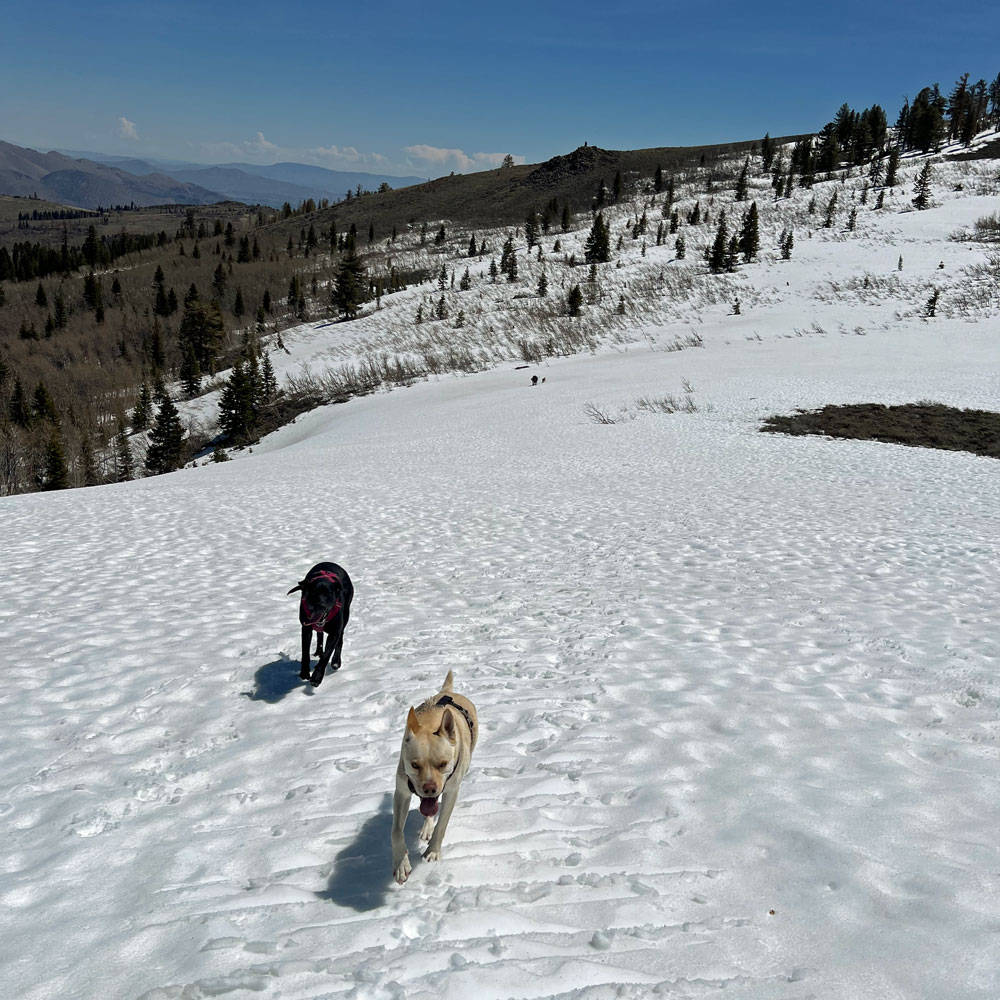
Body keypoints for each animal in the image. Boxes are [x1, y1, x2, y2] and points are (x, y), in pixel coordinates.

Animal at [392, 672, 478, 884]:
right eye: (415, 765)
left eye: (443, 764)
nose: (429, 787)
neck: (432, 721)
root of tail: (448, 692)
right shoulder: (402, 792)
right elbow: (396, 831)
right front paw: (401, 865)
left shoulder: (451, 791)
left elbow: (442, 824)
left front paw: (432, 851)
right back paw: (426, 827)